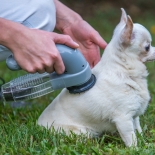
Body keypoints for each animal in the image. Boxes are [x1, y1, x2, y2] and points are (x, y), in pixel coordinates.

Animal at [37, 8, 155, 147]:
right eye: (147, 47)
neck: (124, 70)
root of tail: (39, 126)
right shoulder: (124, 119)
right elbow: (131, 138)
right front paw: (135, 149)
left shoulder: (134, 116)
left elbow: (138, 130)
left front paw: (144, 143)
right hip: (80, 132)